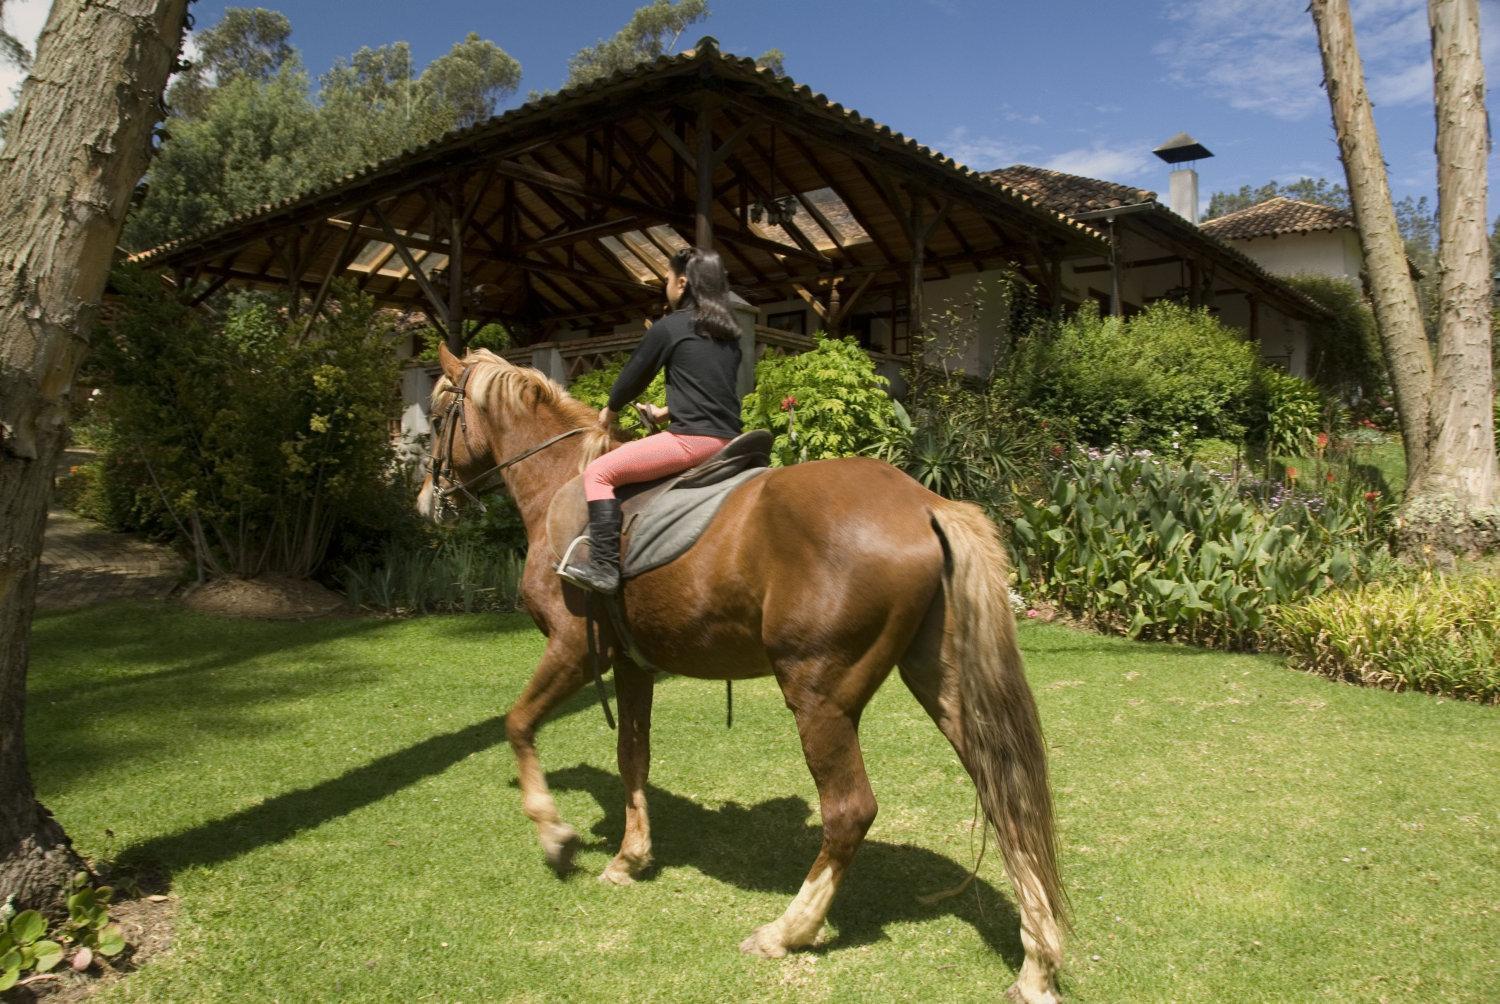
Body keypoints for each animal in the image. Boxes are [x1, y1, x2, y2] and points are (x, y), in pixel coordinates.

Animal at [411, 345, 1068, 1002]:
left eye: (440, 414)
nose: (426, 500)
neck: (561, 485)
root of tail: (925, 503)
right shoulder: (633, 665)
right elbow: (632, 758)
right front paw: (630, 857)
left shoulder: (574, 650)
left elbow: (517, 724)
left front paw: (554, 832)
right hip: (944, 685)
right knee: (1005, 795)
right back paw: (1037, 960)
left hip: (819, 696)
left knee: (850, 811)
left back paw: (788, 930)